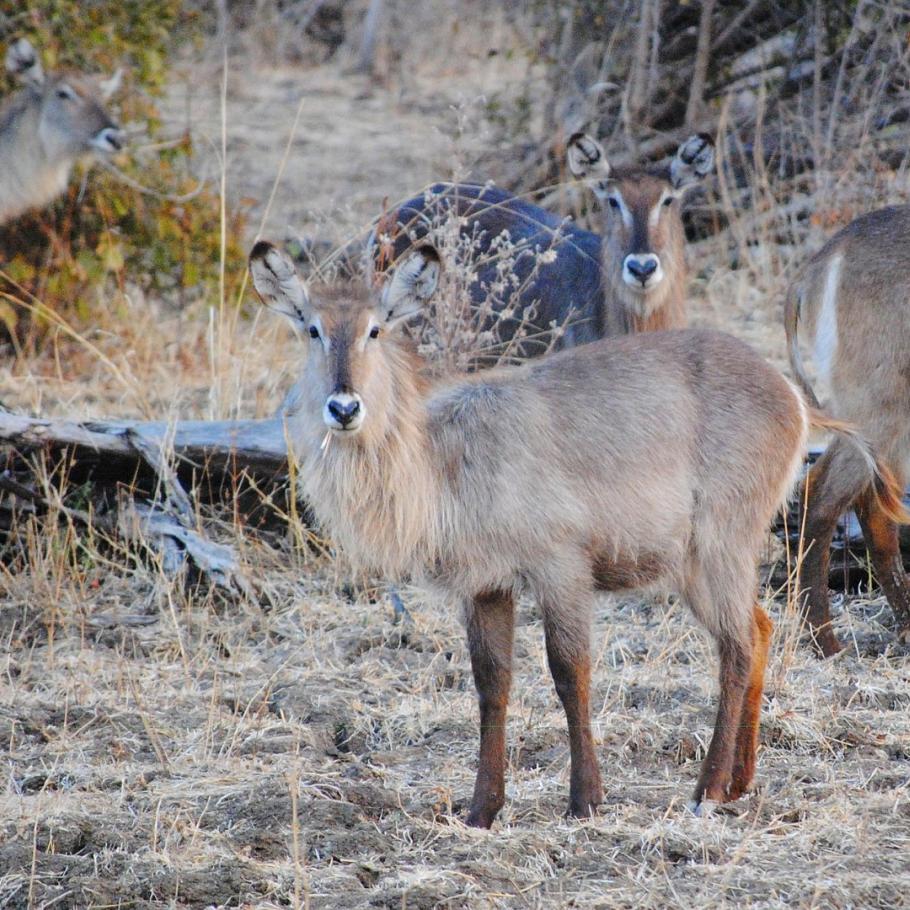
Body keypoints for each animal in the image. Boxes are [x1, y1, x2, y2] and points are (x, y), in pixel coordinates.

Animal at [248, 240, 892, 828]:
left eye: (376, 329)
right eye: (311, 329)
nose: (344, 407)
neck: (441, 461)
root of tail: (791, 397)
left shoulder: (560, 568)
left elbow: (569, 673)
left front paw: (585, 800)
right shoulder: (485, 587)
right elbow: (492, 685)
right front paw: (481, 810)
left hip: (721, 542)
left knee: (736, 645)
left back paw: (707, 790)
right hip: (694, 565)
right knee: (758, 630)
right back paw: (739, 782)